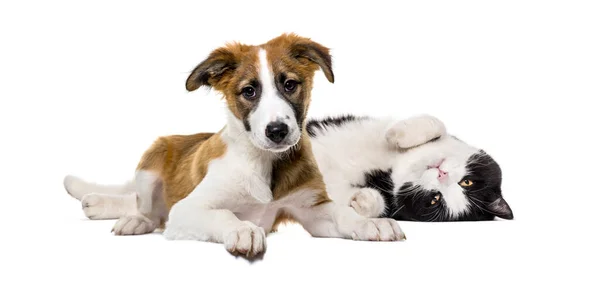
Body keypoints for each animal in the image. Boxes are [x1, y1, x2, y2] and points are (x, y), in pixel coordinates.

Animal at [63, 32, 406, 258]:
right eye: (249, 91)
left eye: (289, 84)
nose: (278, 131)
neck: (264, 163)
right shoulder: (188, 209)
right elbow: (224, 215)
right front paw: (243, 229)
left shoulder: (312, 210)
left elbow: (344, 214)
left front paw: (371, 224)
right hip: (150, 164)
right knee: (146, 208)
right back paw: (132, 219)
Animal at [308, 114, 512, 221]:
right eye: (467, 182)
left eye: (435, 199)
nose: (442, 174)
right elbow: (438, 124)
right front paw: (398, 135)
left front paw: (364, 200)